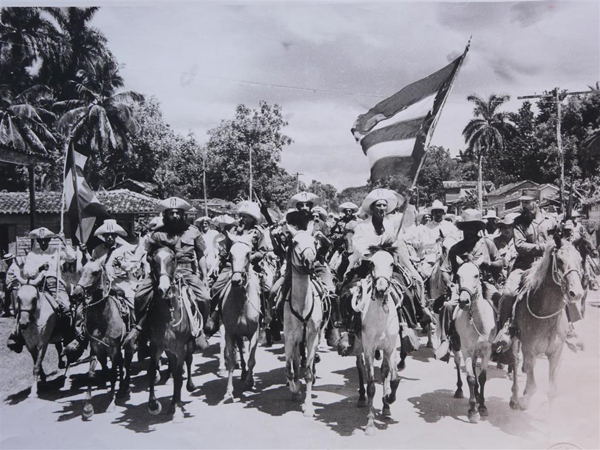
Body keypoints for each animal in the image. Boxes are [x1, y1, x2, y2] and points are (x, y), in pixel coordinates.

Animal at [71, 255, 134, 420]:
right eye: (80, 271)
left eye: (95, 272)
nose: (76, 294)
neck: (103, 318)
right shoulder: (96, 349)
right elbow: (91, 375)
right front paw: (87, 408)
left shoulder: (114, 348)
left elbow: (112, 374)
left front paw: (111, 403)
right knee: (121, 363)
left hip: (129, 344)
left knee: (127, 363)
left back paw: (124, 387)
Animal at [146, 246, 196, 422]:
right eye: (153, 260)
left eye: (173, 259)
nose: (164, 289)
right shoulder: (156, 346)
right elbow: (152, 371)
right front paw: (153, 405)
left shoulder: (181, 347)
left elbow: (179, 377)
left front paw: (179, 410)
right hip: (169, 350)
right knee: (174, 369)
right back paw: (173, 403)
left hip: (188, 344)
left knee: (188, 361)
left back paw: (188, 388)